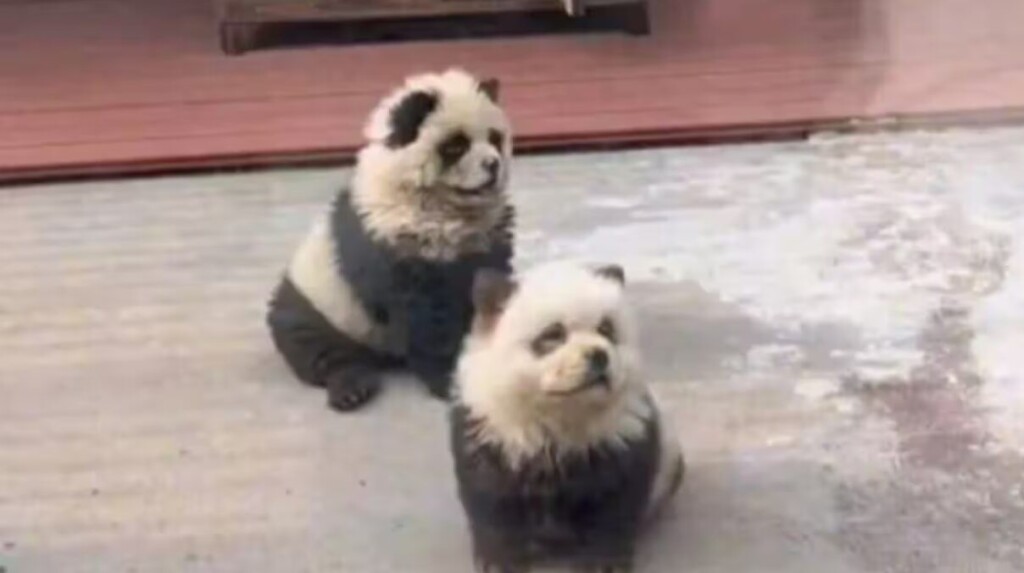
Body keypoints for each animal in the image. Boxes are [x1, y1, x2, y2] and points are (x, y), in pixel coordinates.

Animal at [267, 68, 515, 412]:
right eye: (456, 146)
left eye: (494, 138)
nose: (493, 164)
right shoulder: (394, 240)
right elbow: (426, 318)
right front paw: (447, 377)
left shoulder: (487, 239)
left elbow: (491, 280)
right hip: (318, 301)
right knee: (314, 346)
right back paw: (350, 388)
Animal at [449, 262, 684, 573]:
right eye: (552, 334)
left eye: (606, 329)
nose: (599, 356)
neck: (560, 415)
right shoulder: (492, 431)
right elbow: (491, 500)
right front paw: (499, 561)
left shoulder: (622, 436)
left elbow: (615, 504)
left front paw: (604, 562)